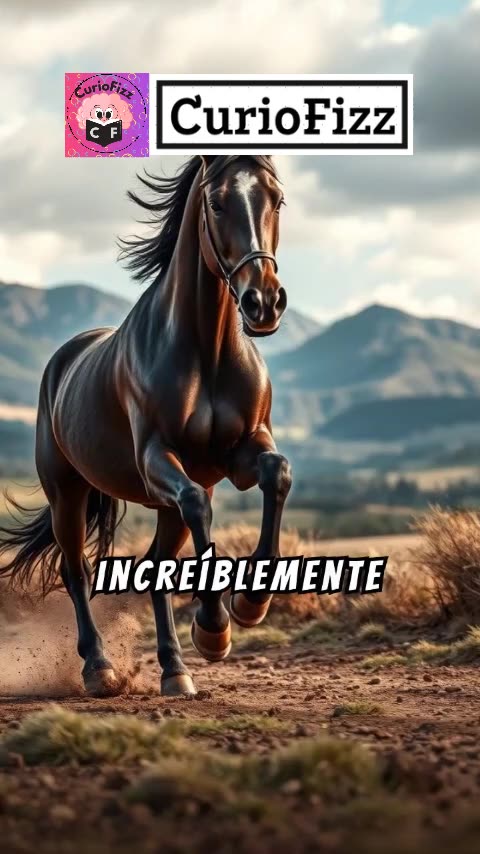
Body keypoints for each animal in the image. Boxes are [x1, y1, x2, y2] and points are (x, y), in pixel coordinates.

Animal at [0, 155, 292, 697]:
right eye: (217, 202)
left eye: (276, 198)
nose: (263, 302)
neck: (207, 350)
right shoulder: (159, 459)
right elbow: (198, 506)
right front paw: (214, 628)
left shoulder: (243, 450)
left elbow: (276, 474)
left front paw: (249, 605)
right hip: (67, 492)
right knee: (76, 570)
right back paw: (100, 669)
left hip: (157, 502)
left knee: (157, 563)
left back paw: (176, 671)